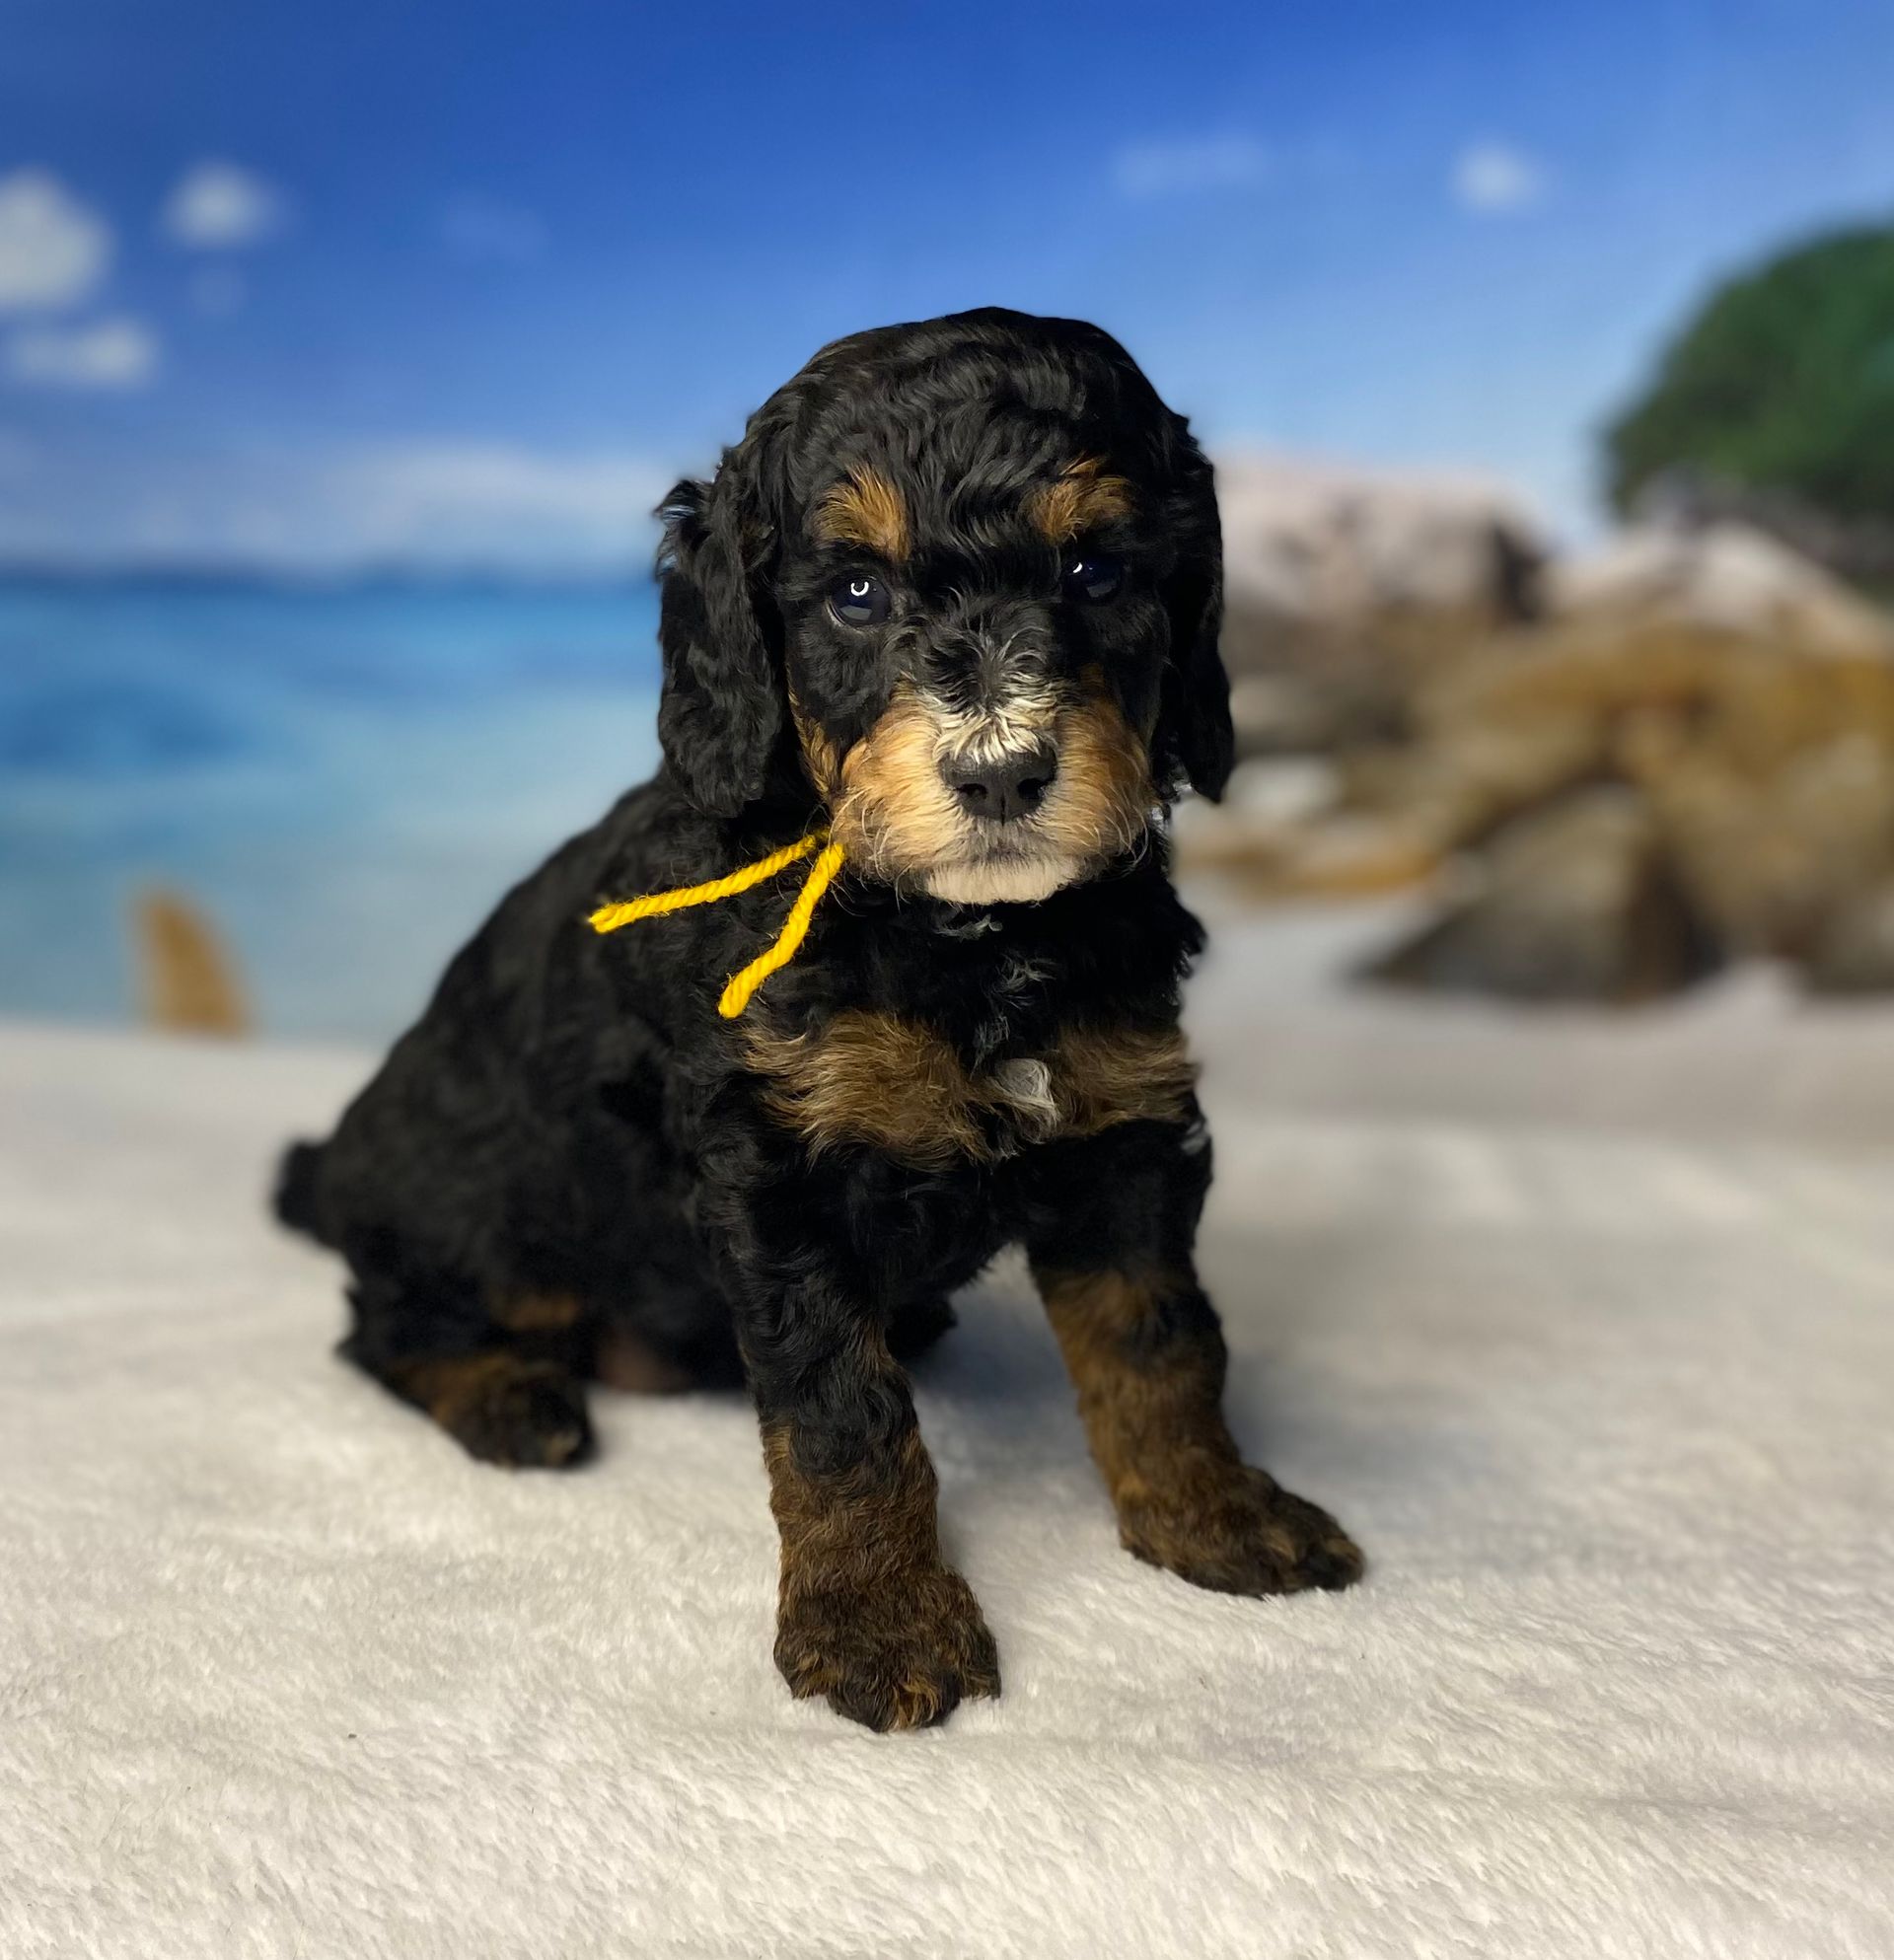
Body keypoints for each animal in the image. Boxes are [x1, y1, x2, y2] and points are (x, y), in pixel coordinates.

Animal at [278, 305, 1364, 1732]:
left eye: (1096, 571)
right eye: (856, 593)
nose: (1001, 773)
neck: (968, 940)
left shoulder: (1122, 1125)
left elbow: (1158, 1335)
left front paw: (1212, 1512)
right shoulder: (774, 1160)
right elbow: (842, 1411)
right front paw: (879, 1621)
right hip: (477, 1208)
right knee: (389, 1322)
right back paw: (509, 1396)